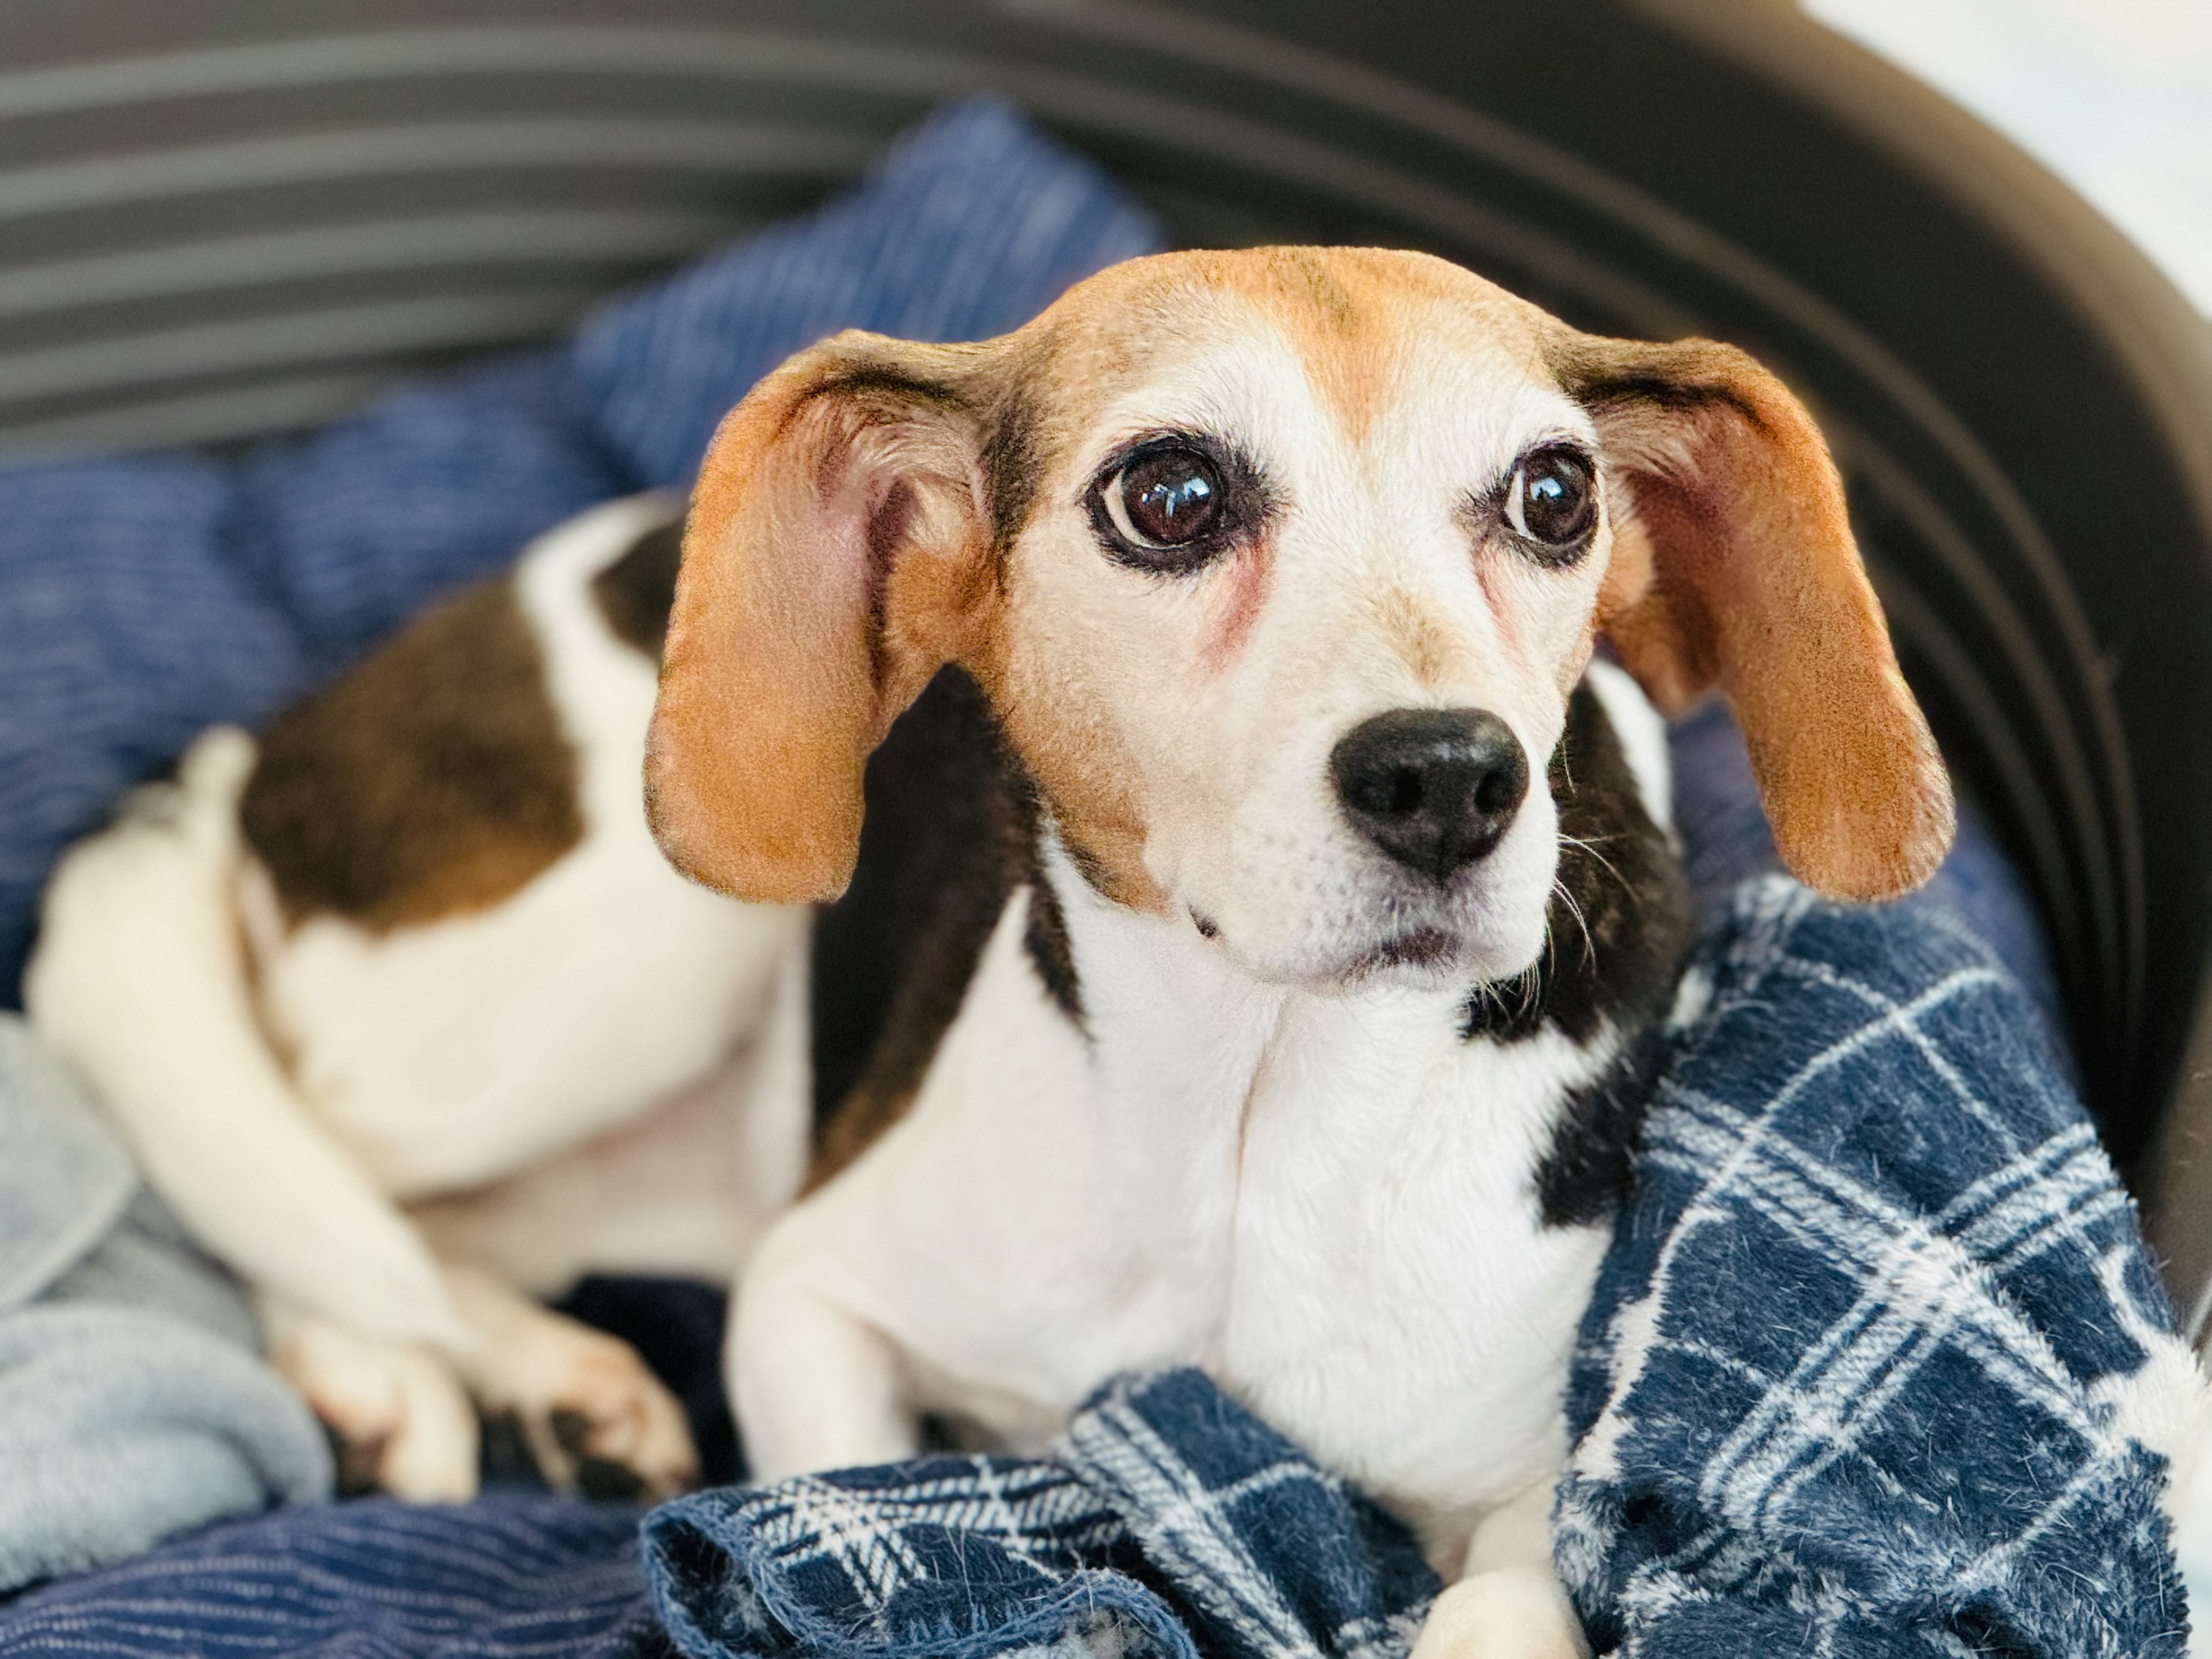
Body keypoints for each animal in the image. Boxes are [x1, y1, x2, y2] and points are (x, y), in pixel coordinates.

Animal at [646, 247, 1946, 1659]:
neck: (1255, 1125)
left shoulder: (1532, 1493)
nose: (1449, 779)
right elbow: (830, 1481)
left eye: (1556, 494)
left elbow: (1495, 1603)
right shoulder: (809, 1296)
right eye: (1170, 495)